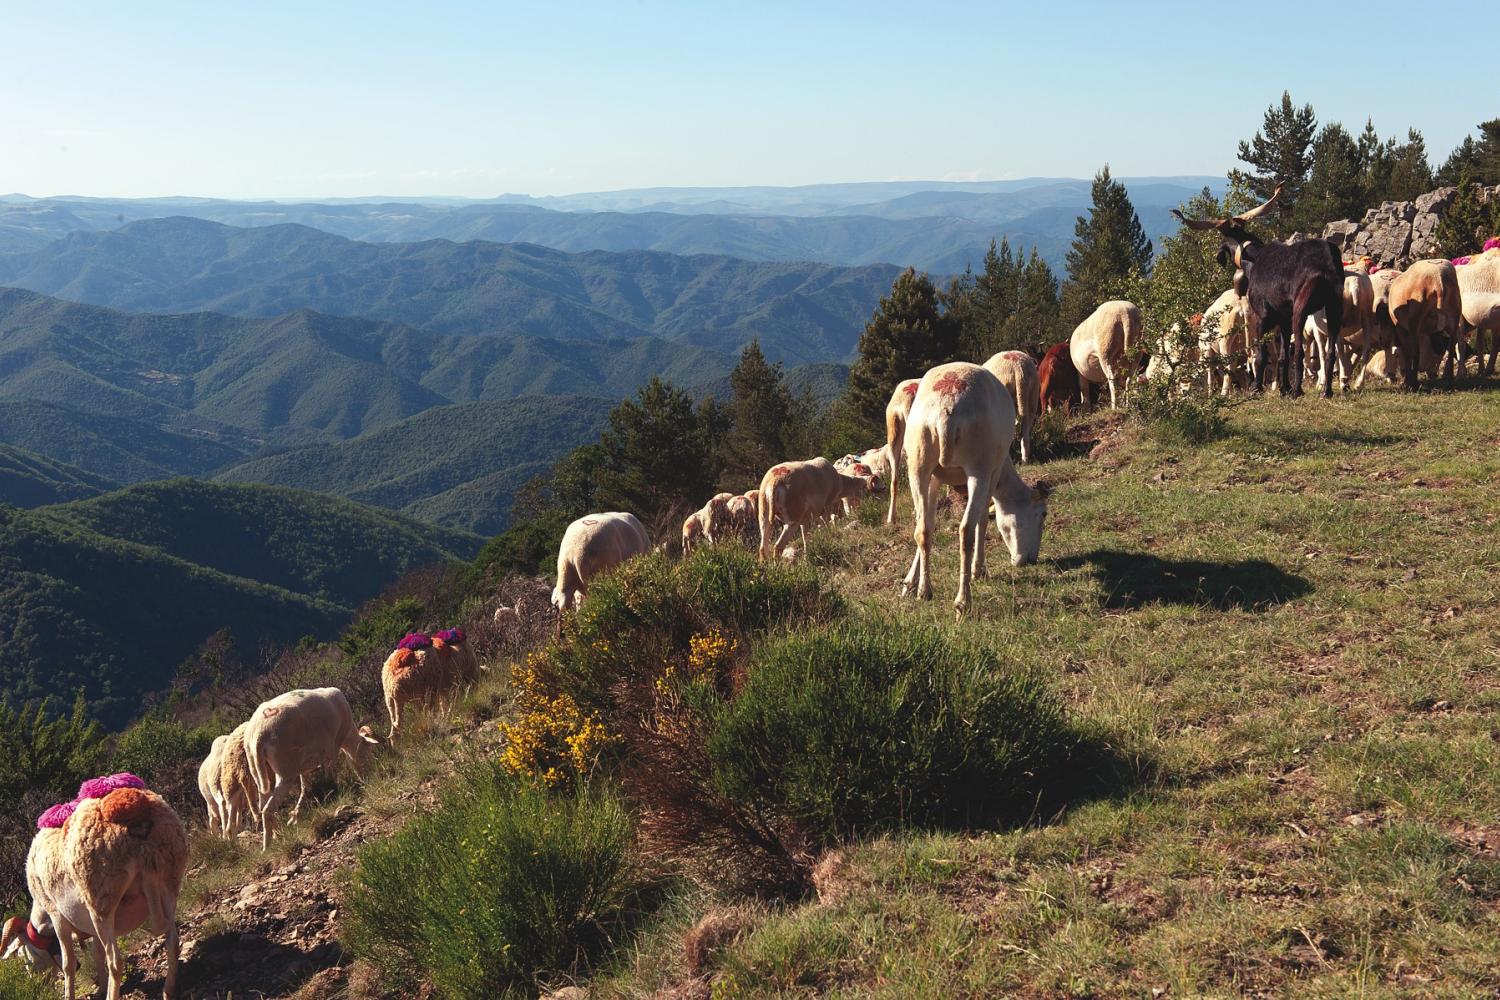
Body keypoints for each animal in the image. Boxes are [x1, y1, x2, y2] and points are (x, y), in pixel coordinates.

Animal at [243, 692, 378, 851]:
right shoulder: (333, 747)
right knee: (267, 810)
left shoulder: (303, 765)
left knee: (263, 802)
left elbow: (304, 786)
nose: (369, 778)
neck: (348, 737)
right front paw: (331, 790)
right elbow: (328, 771)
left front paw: (295, 815)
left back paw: (277, 834)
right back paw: (267, 845)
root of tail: (259, 734)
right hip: (285, 770)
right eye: (368, 751)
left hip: (258, 769)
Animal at [894, 364, 1050, 617]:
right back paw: (963, 601)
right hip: (978, 467)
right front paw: (980, 570)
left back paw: (925, 592)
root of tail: (945, 411)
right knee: (966, 529)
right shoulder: (993, 472)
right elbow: (984, 519)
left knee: (922, 529)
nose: (1030, 560)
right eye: (1043, 514)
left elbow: (926, 524)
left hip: (918, 462)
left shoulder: (934, 479)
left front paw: (910, 583)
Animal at [1176, 185, 1344, 395]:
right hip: (1334, 307)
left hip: (1301, 310)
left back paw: (1297, 391)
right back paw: (1325, 391)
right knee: (1330, 352)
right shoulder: (1282, 318)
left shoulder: (1263, 316)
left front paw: (1258, 387)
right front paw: (1283, 388)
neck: (1253, 260)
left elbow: (1260, 355)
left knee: (1299, 352)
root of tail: (1326, 265)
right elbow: (1282, 356)